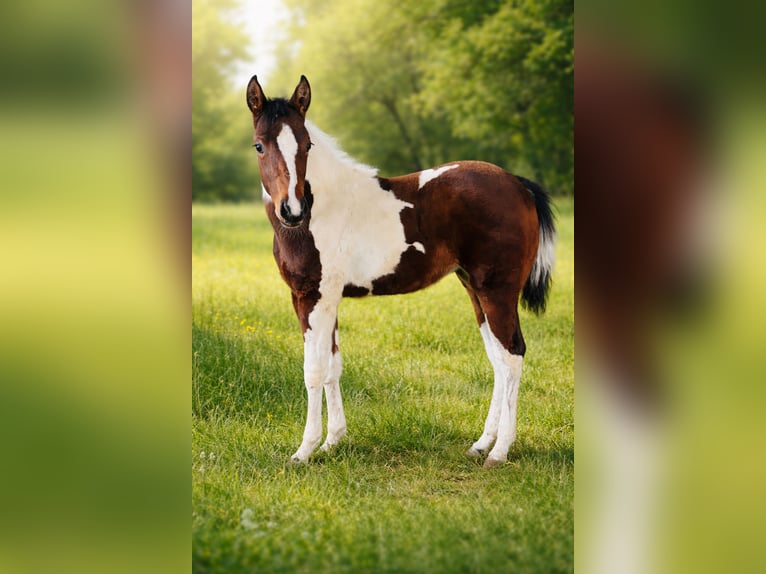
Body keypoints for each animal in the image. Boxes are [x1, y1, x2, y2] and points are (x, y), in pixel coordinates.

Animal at [245, 75, 556, 468]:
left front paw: (304, 451)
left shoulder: (312, 297)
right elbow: (333, 365)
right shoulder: (328, 300)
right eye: (259, 145)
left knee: (512, 355)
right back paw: (481, 444)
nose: (292, 210)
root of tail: (518, 184)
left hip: (498, 291)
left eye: (306, 144)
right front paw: (332, 442)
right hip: (475, 289)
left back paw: (499, 452)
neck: (321, 209)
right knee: (499, 360)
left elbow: (313, 370)